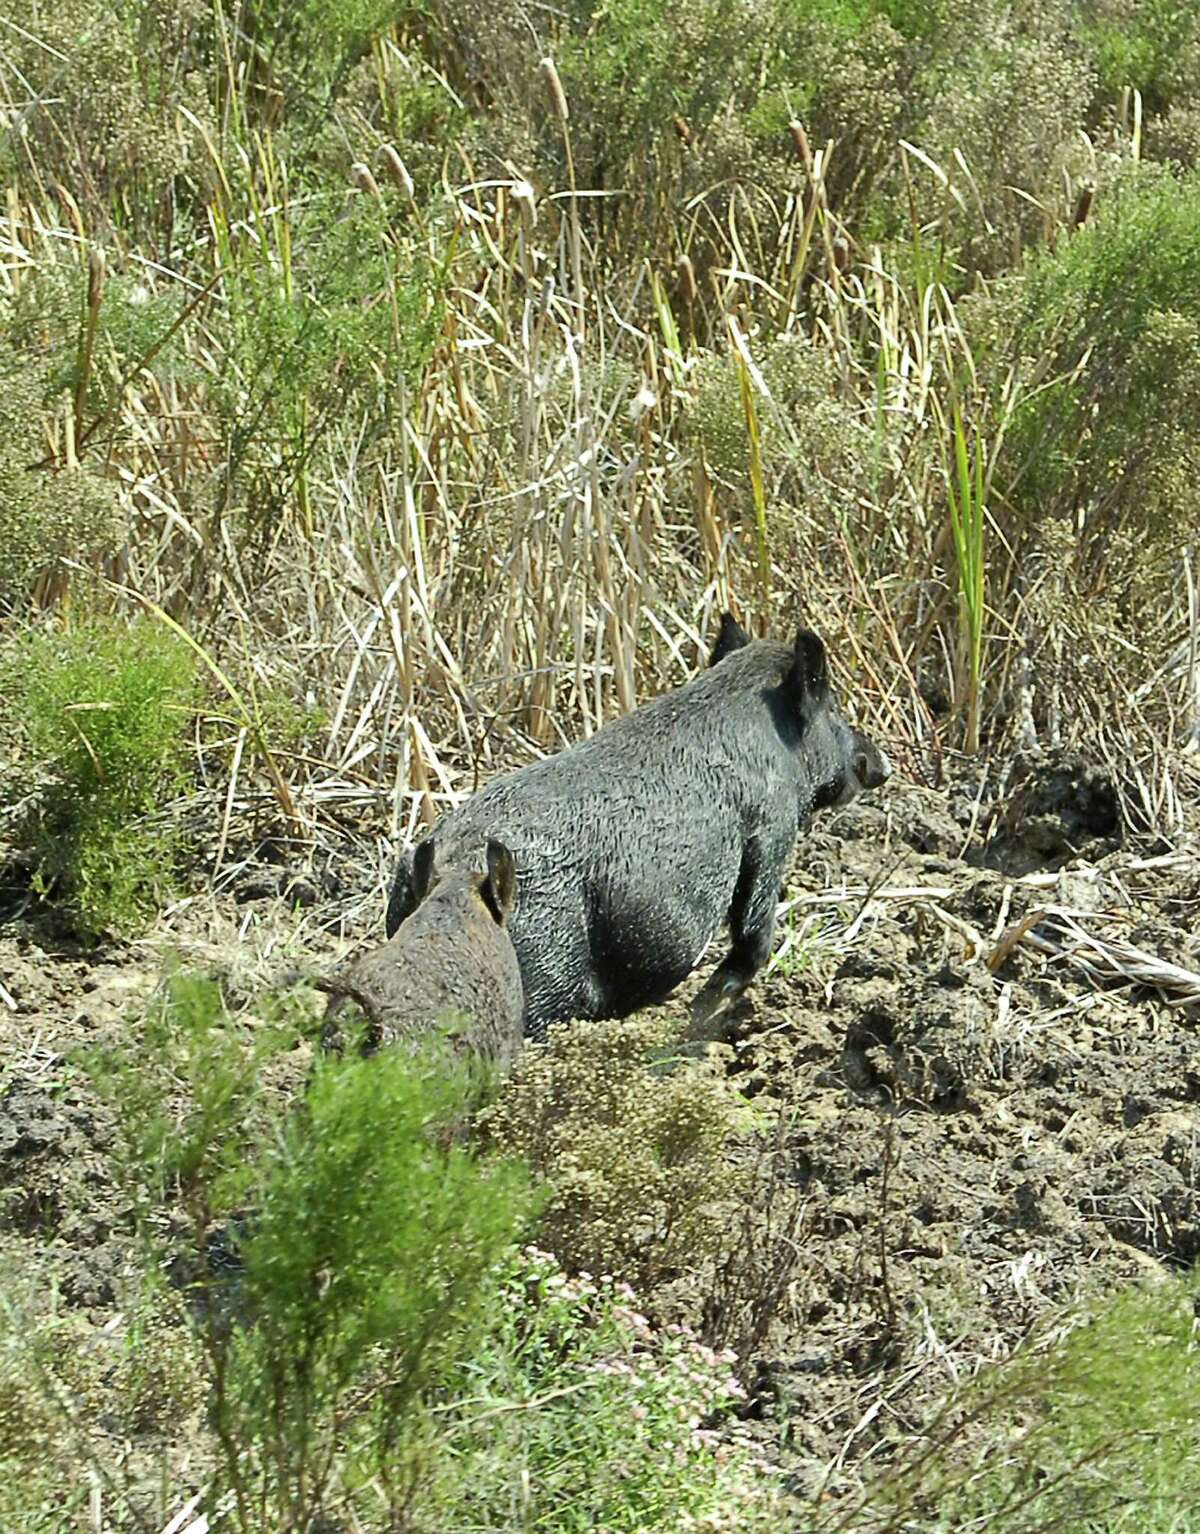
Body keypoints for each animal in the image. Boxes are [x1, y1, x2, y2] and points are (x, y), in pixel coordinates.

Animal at [386, 616, 890, 1040]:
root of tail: (452, 866)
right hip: (542, 969)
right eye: (834, 709)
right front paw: (712, 1001)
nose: (880, 765)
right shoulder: (772, 827)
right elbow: (754, 921)